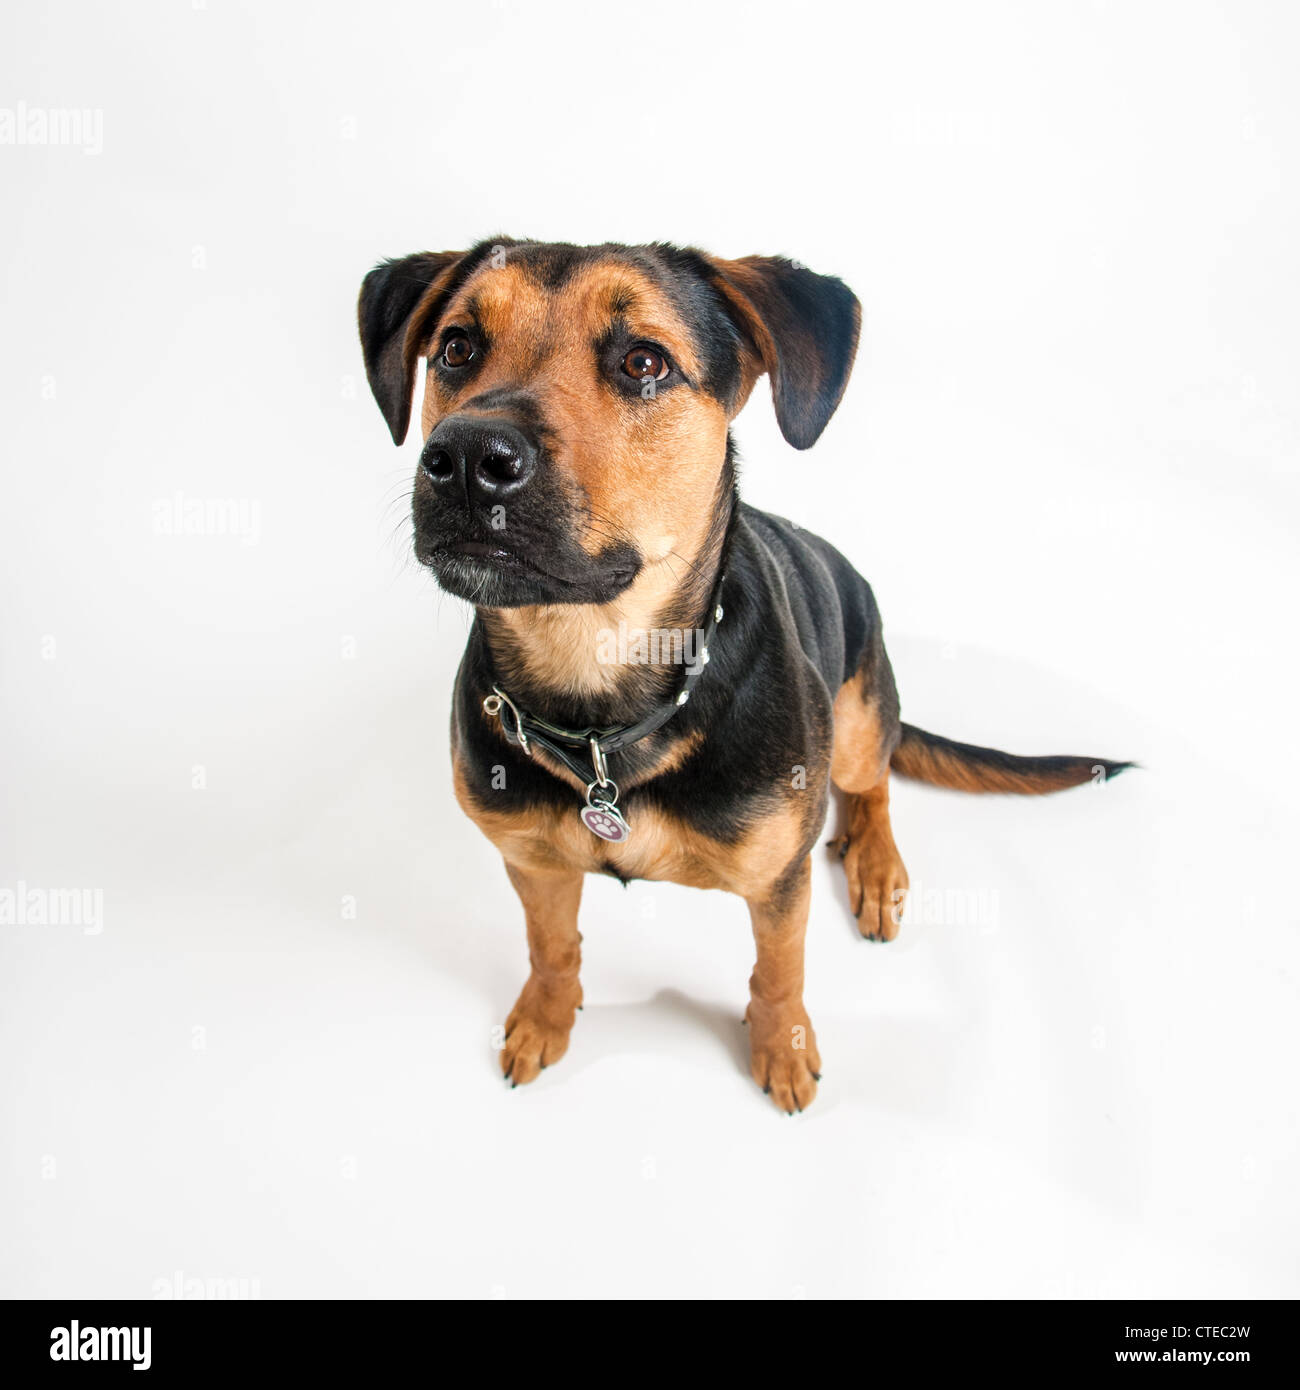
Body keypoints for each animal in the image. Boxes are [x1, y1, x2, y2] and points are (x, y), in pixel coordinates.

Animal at [358, 236, 1128, 1106]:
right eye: (457, 347)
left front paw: (782, 1047)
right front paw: (544, 1018)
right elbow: (552, 946)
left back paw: (875, 864)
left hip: (860, 709)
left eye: (643, 362)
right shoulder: (532, 860)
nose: (464, 458)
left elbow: (779, 969)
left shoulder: (779, 880)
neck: (603, 707)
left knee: (872, 783)